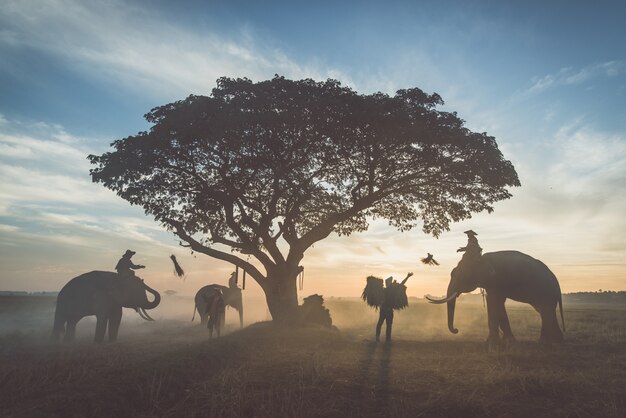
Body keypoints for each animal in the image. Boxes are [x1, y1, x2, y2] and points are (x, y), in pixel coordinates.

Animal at [424, 251, 564, 342]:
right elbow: (496, 303)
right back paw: (552, 341)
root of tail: (557, 284)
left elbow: (494, 301)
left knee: (546, 311)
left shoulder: (497, 280)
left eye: (460, 276)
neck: (480, 259)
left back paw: (548, 342)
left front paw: (494, 342)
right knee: (544, 312)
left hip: (545, 292)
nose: (456, 330)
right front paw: (507, 341)